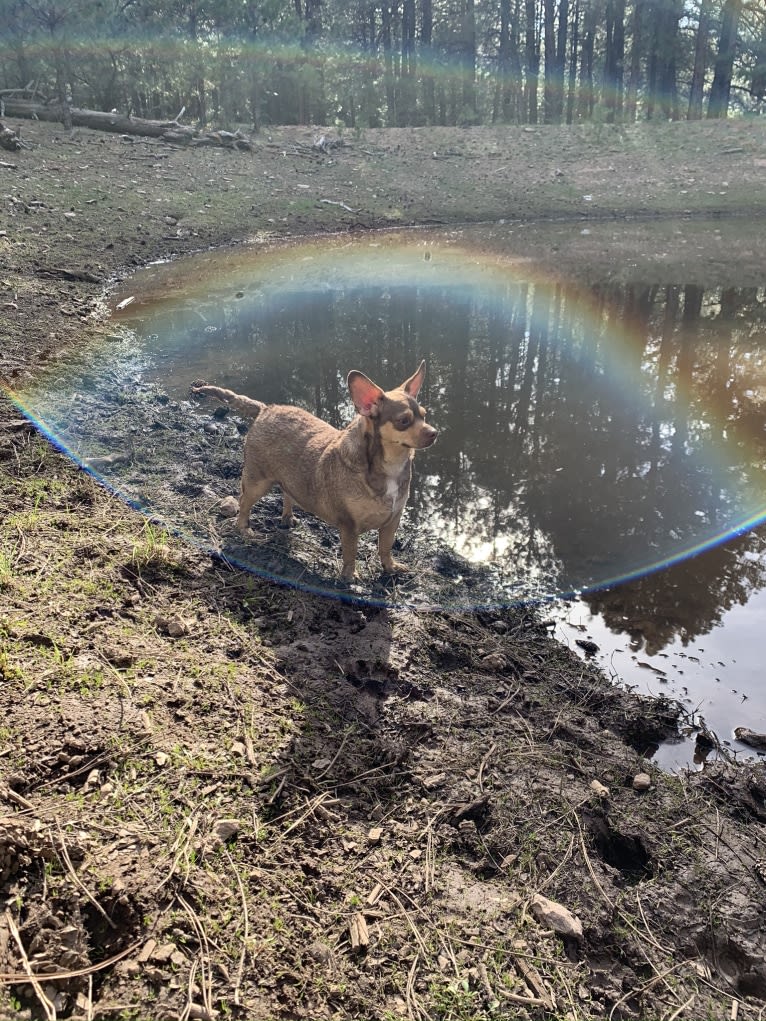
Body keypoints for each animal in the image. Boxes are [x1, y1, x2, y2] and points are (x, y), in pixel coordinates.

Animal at [193, 363, 437, 579]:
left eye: (424, 415)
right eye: (403, 421)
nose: (434, 432)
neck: (391, 464)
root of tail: (266, 408)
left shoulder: (392, 520)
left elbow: (385, 547)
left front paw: (390, 568)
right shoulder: (349, 526)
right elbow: (351, 553)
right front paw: (350, 577)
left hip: (288, 478)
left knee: (287, 493)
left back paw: (287, 517)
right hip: (257, 483)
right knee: (244, 503)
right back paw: (244, 529)